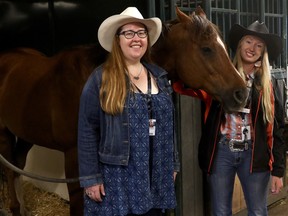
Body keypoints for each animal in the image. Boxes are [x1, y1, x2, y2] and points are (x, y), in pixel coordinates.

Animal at [0, 6, 248, 216]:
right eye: (207, 49)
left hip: (26, 132)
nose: (241, 94)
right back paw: (15, 208)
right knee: (10, 168)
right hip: (5, 132)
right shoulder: (74, 161)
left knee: (18, 164)